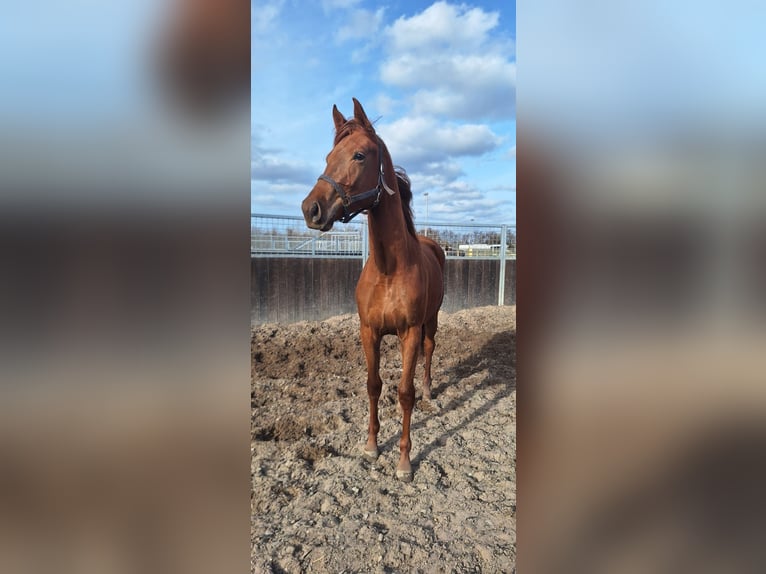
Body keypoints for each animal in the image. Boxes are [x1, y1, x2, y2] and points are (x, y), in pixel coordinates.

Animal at [301, 98, 445, 482]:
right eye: (328, 156)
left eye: (360, 155)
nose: (311, 209)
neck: (388, 270)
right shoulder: (369, 331)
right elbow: (374, 385)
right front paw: (371, 446)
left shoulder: (410, 332)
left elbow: (405, 392)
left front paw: (404, 463)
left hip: (431, 320)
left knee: (429, 351)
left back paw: (430, 392)